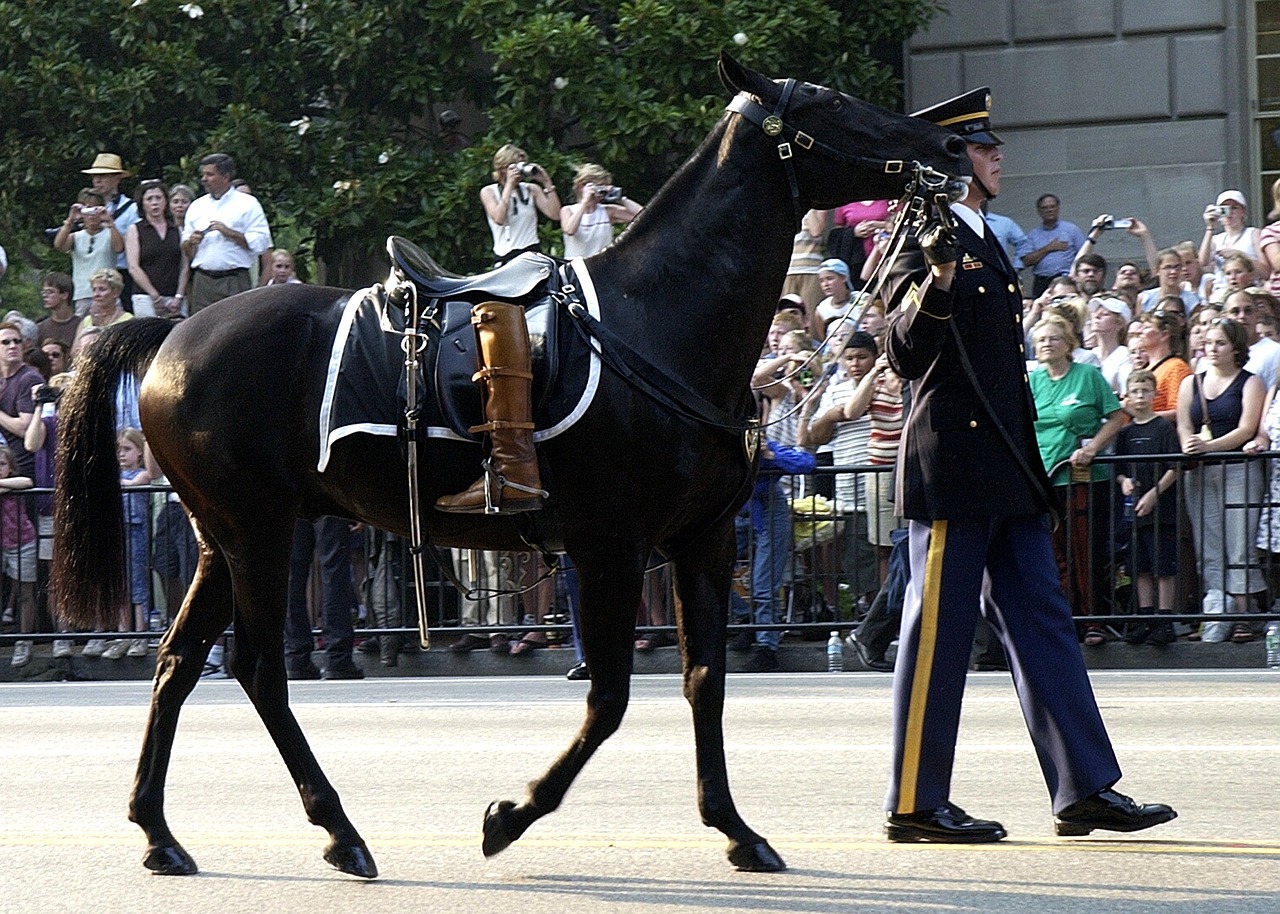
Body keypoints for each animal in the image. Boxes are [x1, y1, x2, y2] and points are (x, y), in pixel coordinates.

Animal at [55, 55, 962, 875]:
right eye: (829, 103)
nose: (949, 144)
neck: (657, 320)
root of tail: (172, 333)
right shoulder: (610, 546)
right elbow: (610, 697)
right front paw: (511, 816)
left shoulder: (701, 541)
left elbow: (706, 679)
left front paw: (737, 829)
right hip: (258, 533)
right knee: (256, 669)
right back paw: (339, 831)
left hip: (224, 538)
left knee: (178, 663)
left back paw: (160, 831)